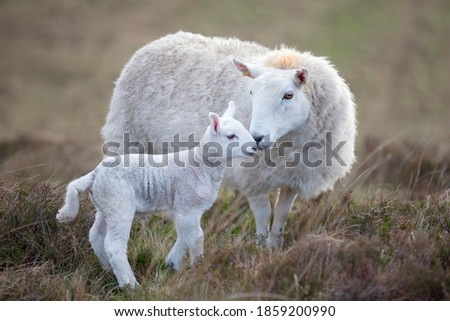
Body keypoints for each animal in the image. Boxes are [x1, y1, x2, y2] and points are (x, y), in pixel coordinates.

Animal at [55, 102, 256, 288]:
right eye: (231, 136)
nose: (254, 147)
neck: (200, 164)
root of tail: (95, 174)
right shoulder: (188, 204)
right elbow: (197, 237)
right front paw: (199, 268)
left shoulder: (184, 209)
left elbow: (184, 235)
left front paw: (172, 264)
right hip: (119, 202)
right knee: (114, 246)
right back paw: (130, 285)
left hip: (105, 204)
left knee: (96, 235)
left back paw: (108, 270)